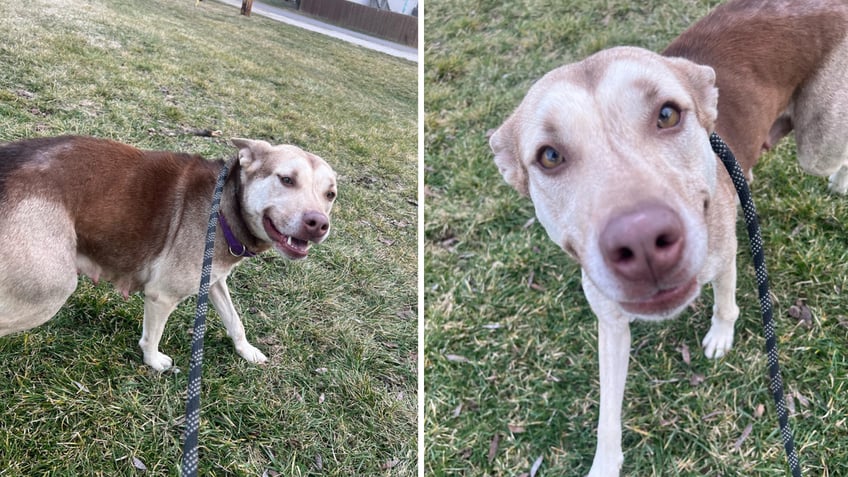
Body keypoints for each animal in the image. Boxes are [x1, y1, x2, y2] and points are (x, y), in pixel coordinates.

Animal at [0, 136, 338, 370]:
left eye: (330, 194)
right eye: (286, 179)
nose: (319, 224)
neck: (223, 207)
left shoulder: (213, 279)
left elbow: (234, 320)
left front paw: (247, 351)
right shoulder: (162, 296)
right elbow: (152, 336)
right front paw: (154, 362)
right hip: (51, 290)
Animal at [486, 0, 844, 472]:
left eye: (668, 114)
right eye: (549, 156)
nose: (642, 243)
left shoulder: (726, 254)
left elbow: (726, 303)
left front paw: (720, 337)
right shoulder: (611, 323)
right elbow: (607, 413)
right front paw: (605, 464)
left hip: (817, 148)